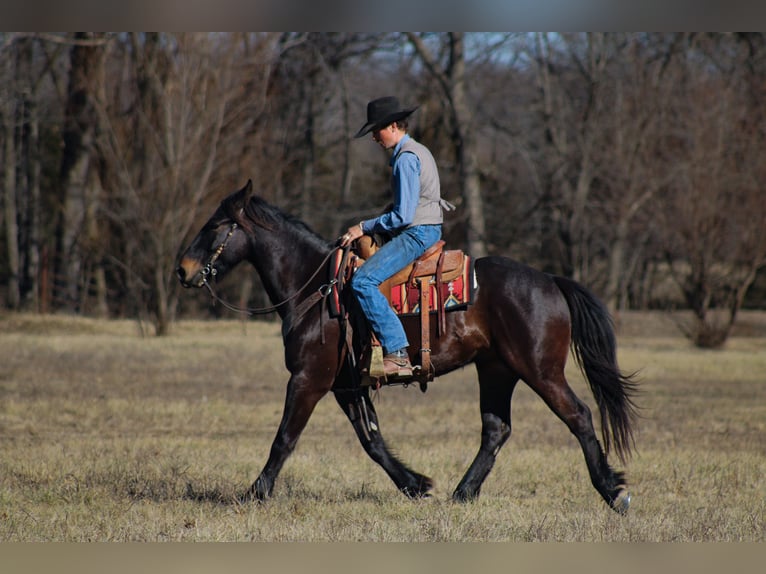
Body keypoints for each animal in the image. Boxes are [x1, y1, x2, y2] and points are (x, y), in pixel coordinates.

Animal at [176, 180, 639, 513]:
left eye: (215, 225)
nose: (182, 270)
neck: (316, 288)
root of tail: (550, 281)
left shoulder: (308, 380)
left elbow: (285, 438)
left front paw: (254, 493)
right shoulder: (347, 386)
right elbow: (372, 441)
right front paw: (416, 485)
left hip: (541, 370)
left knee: (578, 416)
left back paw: (613, 492)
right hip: (496, 371)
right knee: (496, 430)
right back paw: (461, 494)